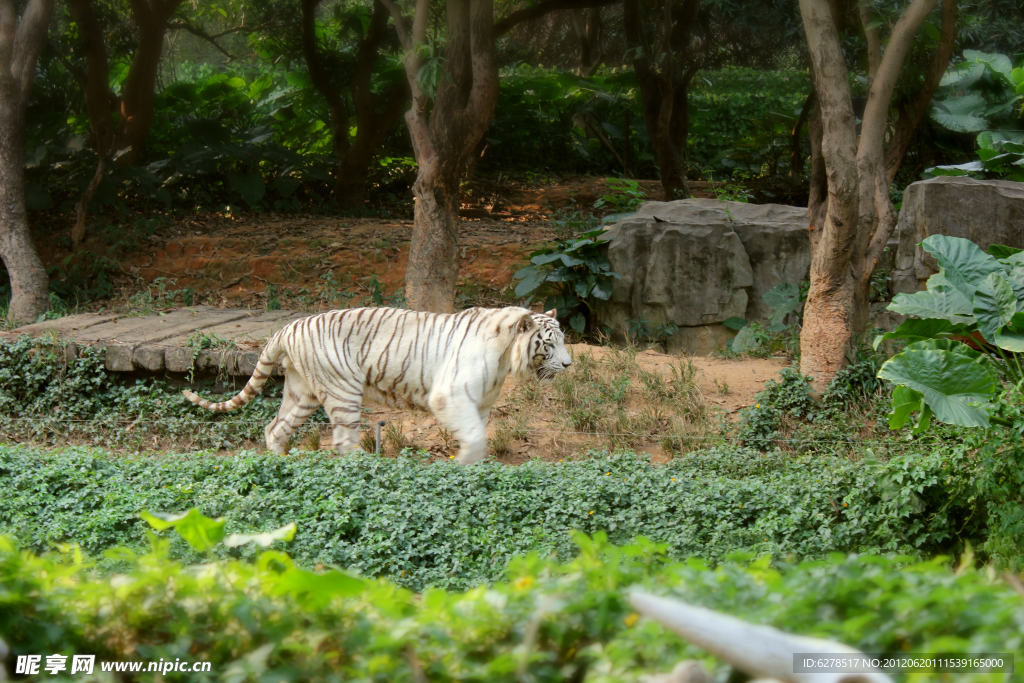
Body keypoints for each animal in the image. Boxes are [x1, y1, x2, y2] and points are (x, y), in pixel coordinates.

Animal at [181, 309, 573, 464]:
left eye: (564, 341)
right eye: (550, 344)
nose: (569, 364)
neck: (508, 357)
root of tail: (288, 327)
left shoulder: (481, 404)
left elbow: (478, 433)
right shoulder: (450, 395)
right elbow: (475, 437)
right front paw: (463, 464)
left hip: (301, 392)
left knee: (275, 428)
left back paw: (282, 463)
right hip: (342, 391)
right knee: (343, 441)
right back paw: (370, 466)